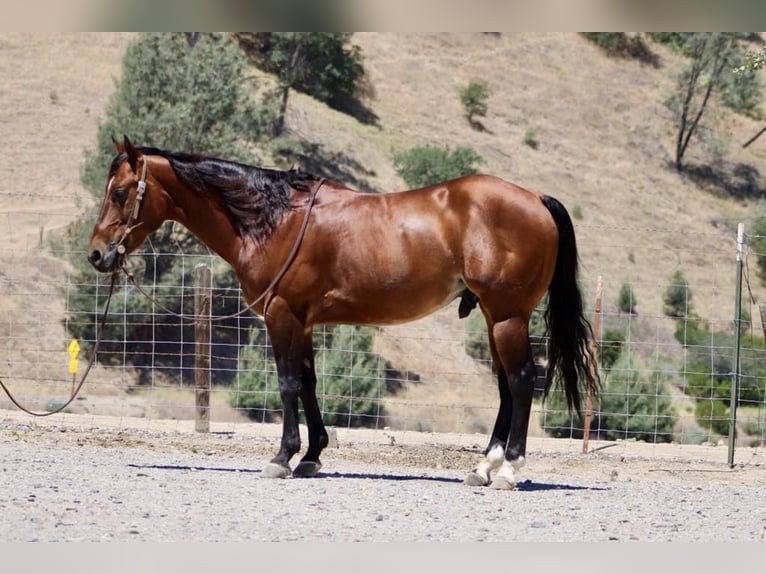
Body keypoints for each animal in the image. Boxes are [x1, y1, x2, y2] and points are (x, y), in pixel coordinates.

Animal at [87, 136, 598, 490]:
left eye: (120, 192)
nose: (96, 254)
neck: (275, 219)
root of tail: (535, 198)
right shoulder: (304, 322)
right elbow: (309, 383)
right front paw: (312, 456)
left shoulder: (282, 315)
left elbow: (288, 384)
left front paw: (282, 458)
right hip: (495, 318)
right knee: (506, 386)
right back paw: (484, 466)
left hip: (508, 316)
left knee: (522, 380)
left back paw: (509, 470)